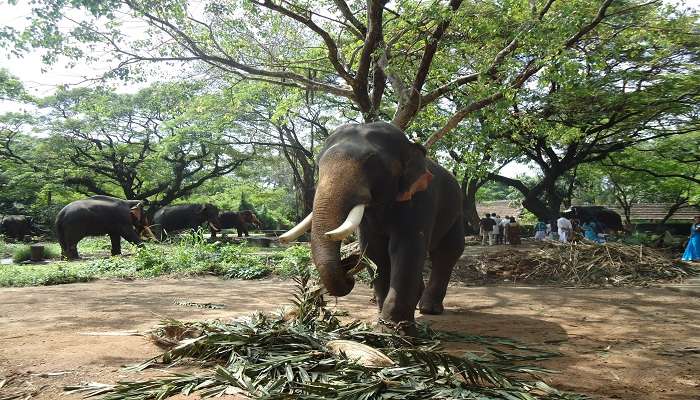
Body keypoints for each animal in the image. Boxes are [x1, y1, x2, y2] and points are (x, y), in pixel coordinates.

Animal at [279, 122, 464, 335]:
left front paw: (394, 331)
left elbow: (406, 248)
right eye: (318, 164)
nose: (348, 272)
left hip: (456, 213)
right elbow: (374, 251)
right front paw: (382, 325)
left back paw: (429, 309)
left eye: (371, 161)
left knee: (447, 253)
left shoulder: (422, 200)